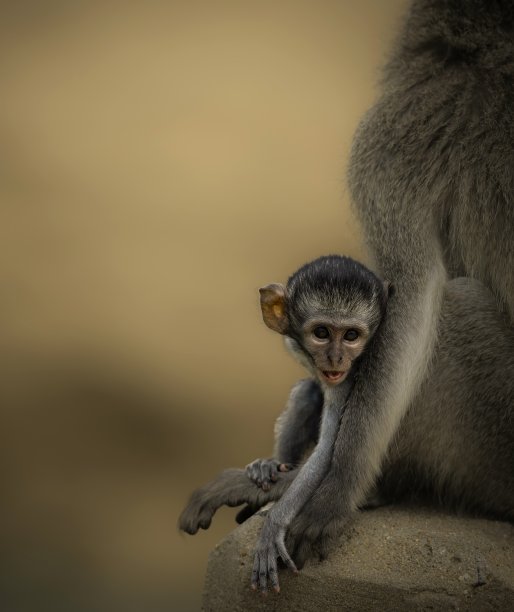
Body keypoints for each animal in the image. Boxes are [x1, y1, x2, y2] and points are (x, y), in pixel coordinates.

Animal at [246, 255, 386, 592]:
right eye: (321, 332)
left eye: (351, 336)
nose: (335, 359)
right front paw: (270, 466)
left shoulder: (349, 377)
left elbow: (327, 452)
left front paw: (274, 523)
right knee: (307, 393)